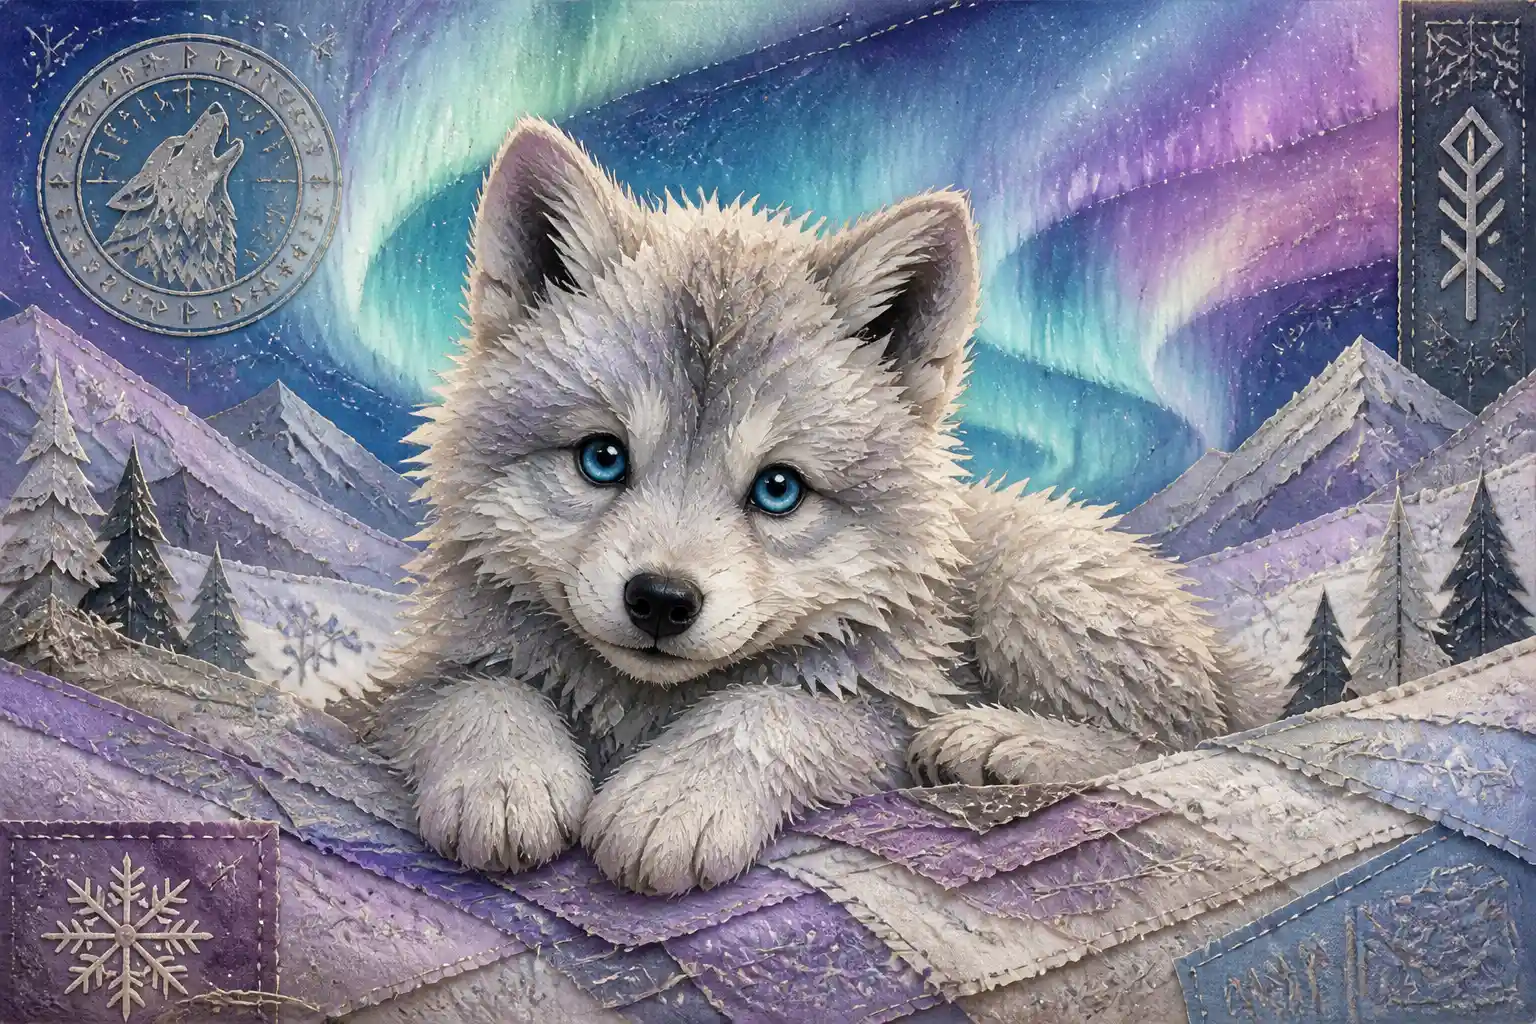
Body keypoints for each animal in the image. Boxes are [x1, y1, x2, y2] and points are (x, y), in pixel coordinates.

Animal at [368, 117, 1280, 896]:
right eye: (602, 458)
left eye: (778, 489)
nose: (661, 601)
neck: (644, 704)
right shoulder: (403, 682)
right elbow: (475, 694)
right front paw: (505, 782)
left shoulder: (887, 708)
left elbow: (769, 710)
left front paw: (673, 800)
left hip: (1035, 585)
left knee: (1177, 740)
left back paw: (997, 741)